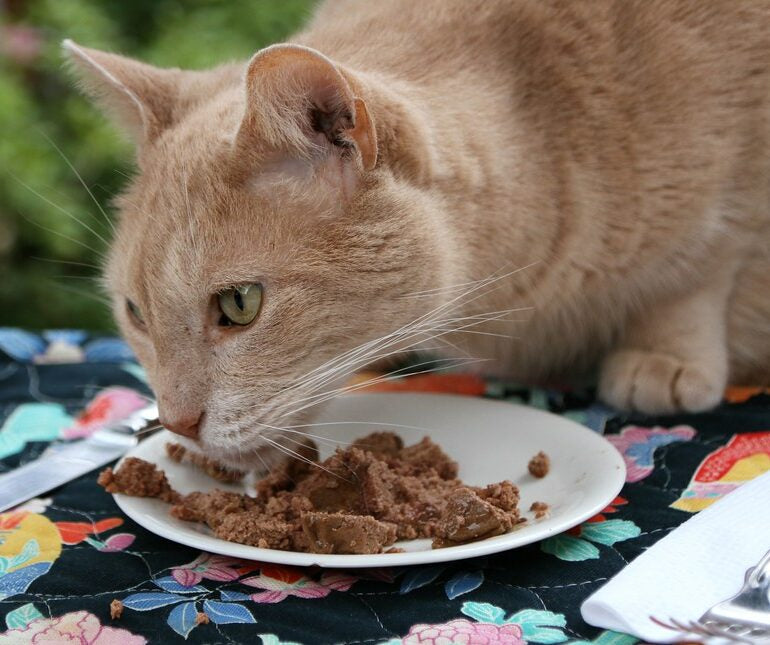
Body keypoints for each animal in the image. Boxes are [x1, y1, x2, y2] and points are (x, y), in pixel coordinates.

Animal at [61, 0, 768, 462]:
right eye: (135, 313)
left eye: (240, 305)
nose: (175, 424)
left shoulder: (731, 191)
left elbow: (700, 270)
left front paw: (664, 356)